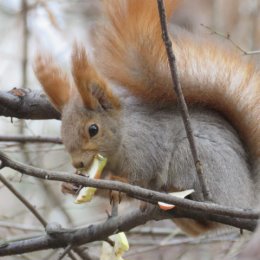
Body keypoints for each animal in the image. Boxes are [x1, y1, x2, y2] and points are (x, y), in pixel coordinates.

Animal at [34, 0, 258, 236]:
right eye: (63, 133)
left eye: (93, 129)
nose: (78, 163)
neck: (121, 139)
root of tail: (246, 195)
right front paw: (72, 186)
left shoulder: (146, 147)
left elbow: (139, 175)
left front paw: (117, 182)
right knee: (201, 227)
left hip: (193, 160)